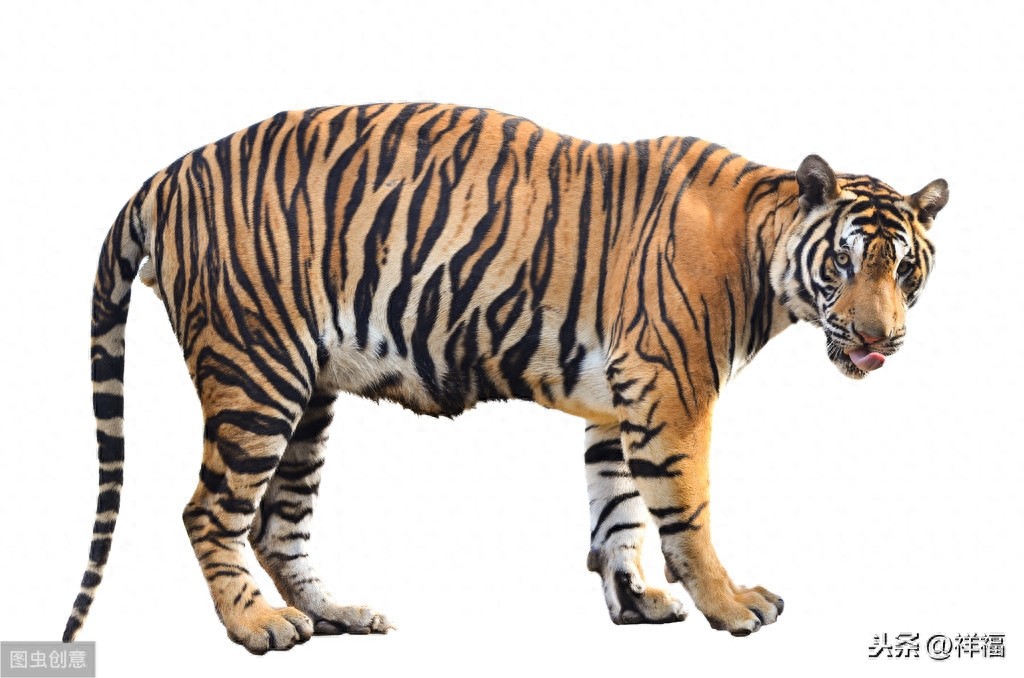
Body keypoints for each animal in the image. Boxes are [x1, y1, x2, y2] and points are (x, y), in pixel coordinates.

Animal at [63, 102, 949, 653]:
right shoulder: (671, 389)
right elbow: (685, 510)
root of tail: (167, 174)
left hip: (308, 396)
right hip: (256, 372)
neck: (767, 254)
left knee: (278, 524)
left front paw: (635, 602)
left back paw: (336, 614)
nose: (882, 341)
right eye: (844, 264)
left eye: (905, 270)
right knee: (209, 510)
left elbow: (617, 509)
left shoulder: (619, 399)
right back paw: (258, 628)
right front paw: (731, 607)